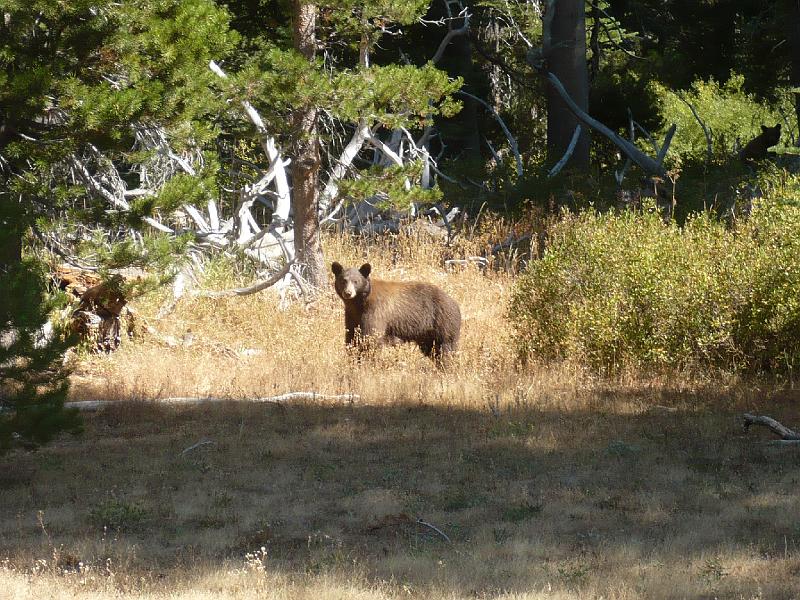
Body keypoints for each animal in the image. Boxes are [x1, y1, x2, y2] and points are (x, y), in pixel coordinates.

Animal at [331, 262, 461, 363]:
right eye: (343, 281)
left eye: (356, 281)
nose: (348, 293)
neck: (360, 303)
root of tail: (454, 303)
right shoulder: (352, 315)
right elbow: (351, 335)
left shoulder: (375, 310)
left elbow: (370, 336)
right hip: (427, 334)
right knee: (433, 350)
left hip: (443, 322)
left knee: (446, 347)